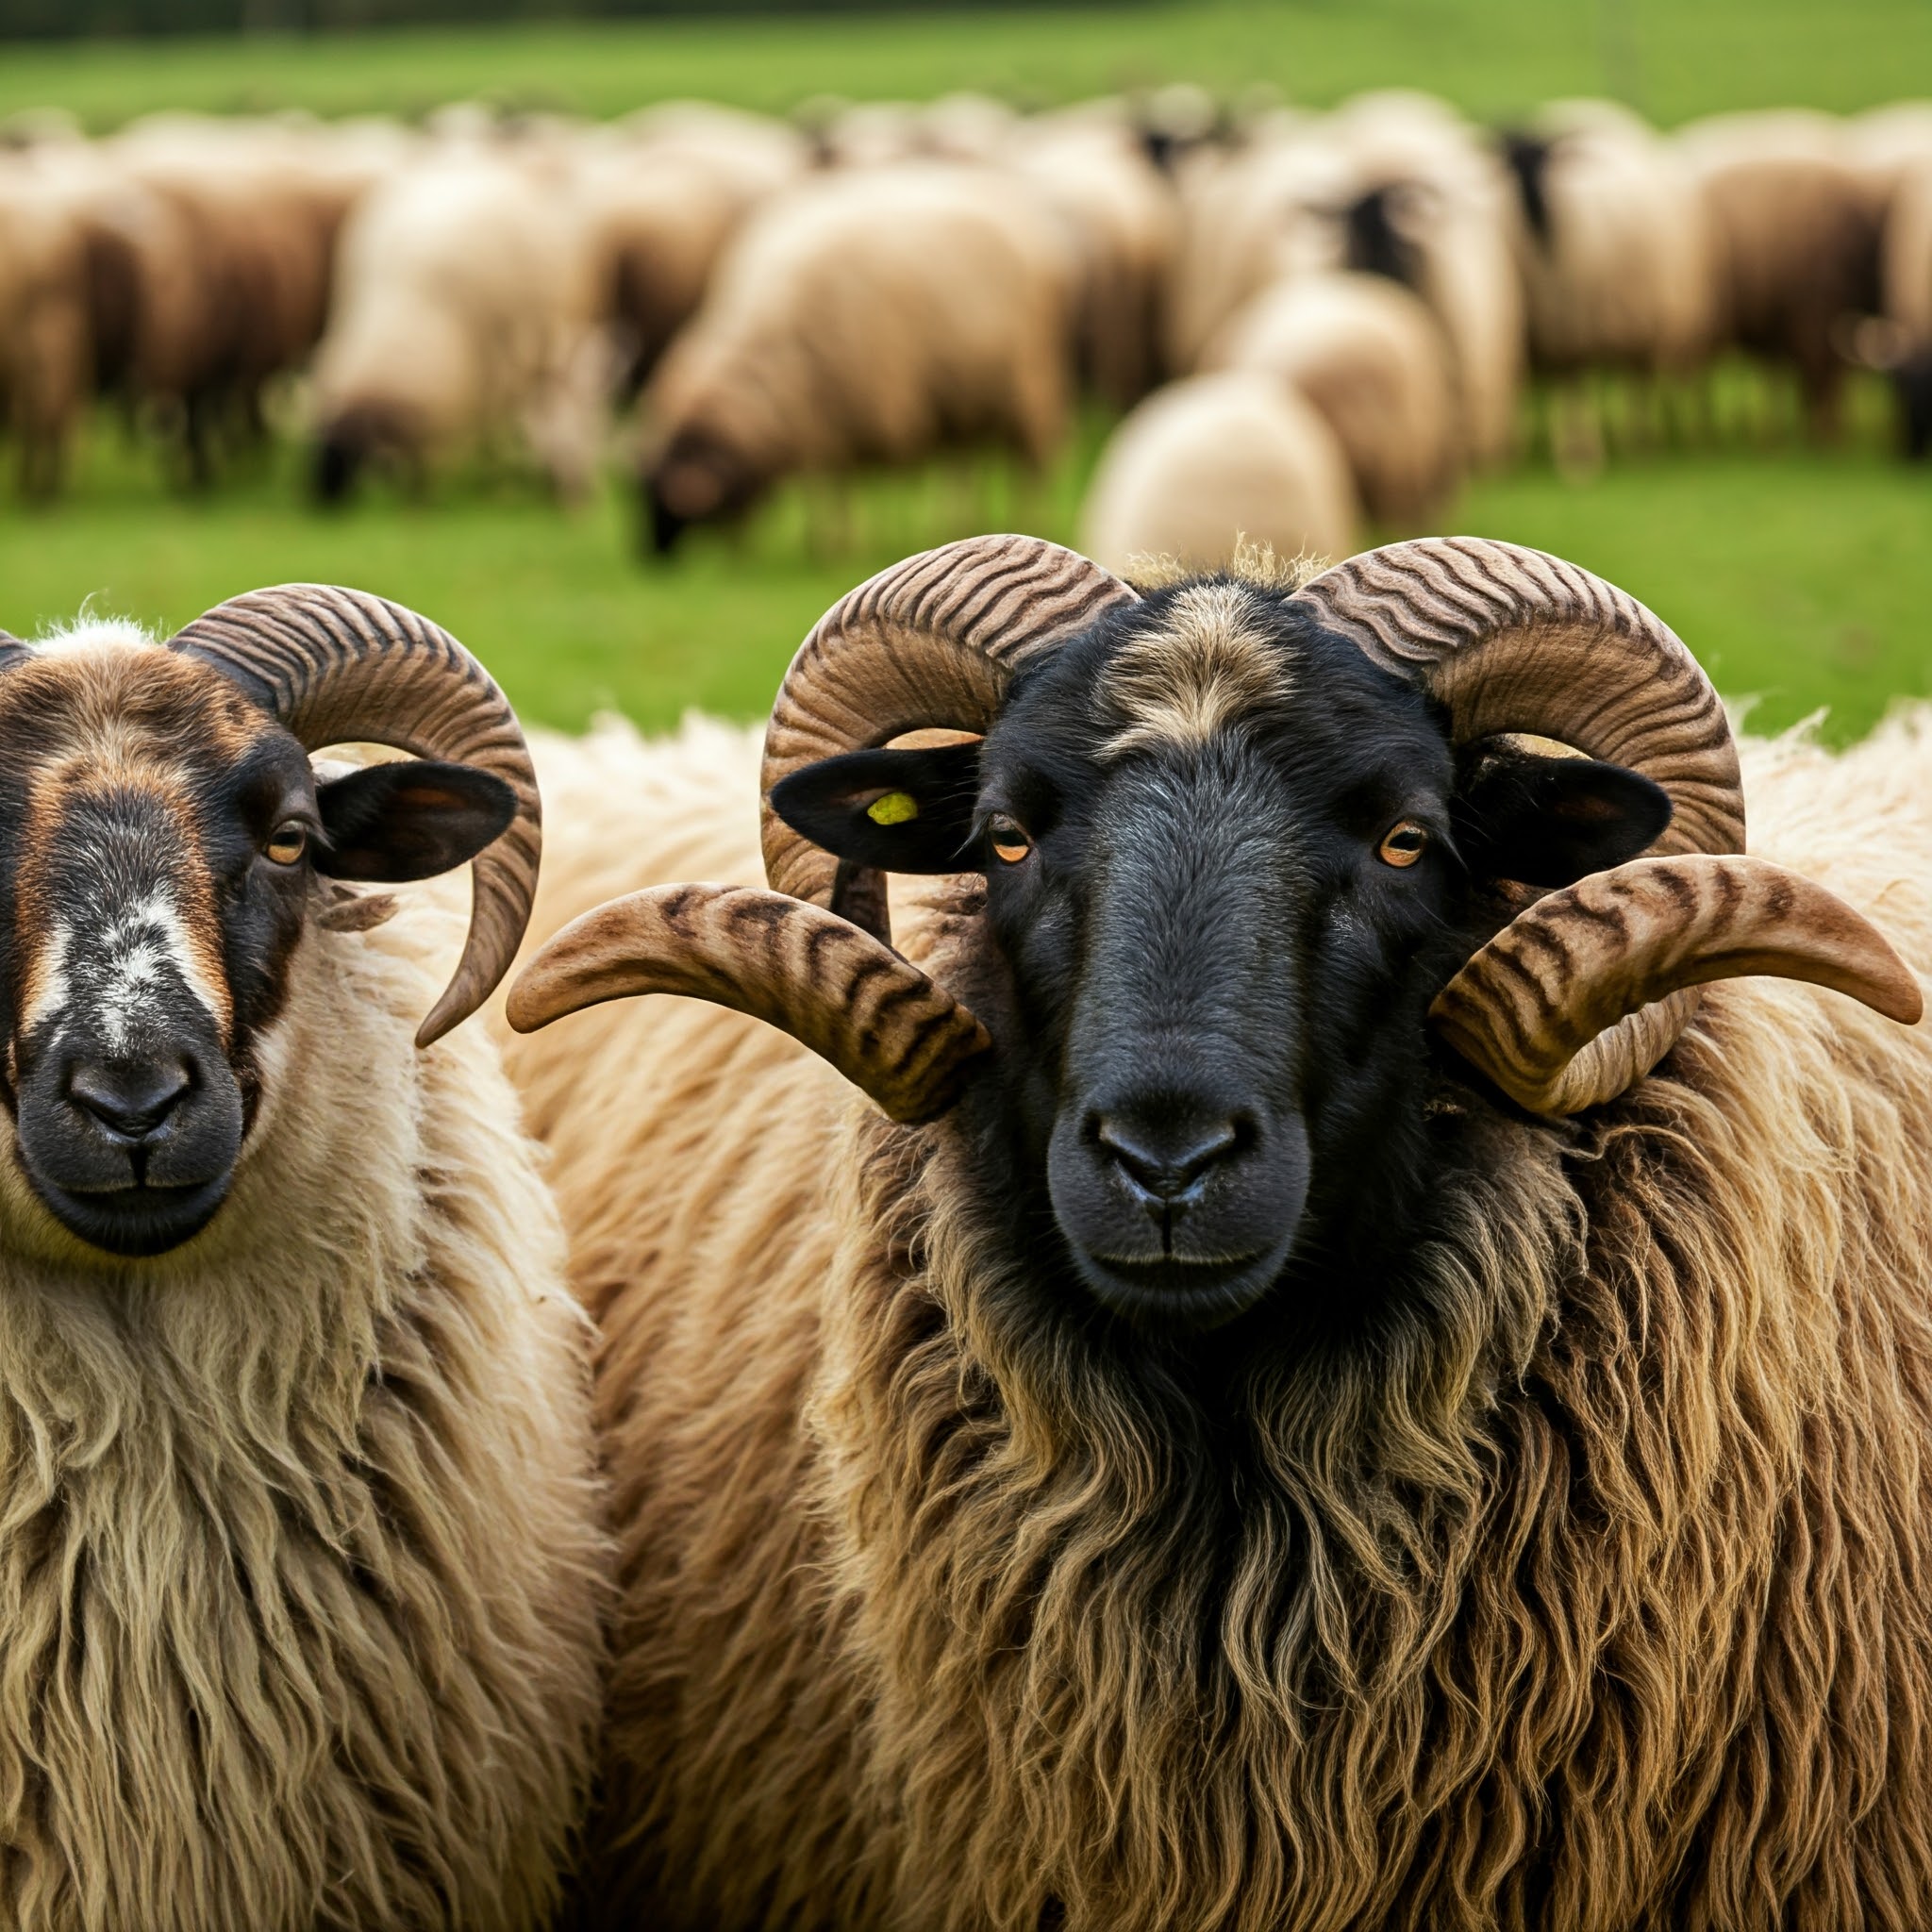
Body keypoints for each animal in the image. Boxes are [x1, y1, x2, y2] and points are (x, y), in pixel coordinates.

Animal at [638, 161, 1072, 553]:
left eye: (668, 507)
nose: (652, 561)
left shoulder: (842, 414)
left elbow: (834, 488)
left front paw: (835, 545)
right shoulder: (815, 421)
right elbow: (823, 488)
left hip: (1027, 383)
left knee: (1031, 465)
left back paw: (1031, 520)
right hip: (964, 395)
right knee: (964, 467)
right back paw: (960, 523)